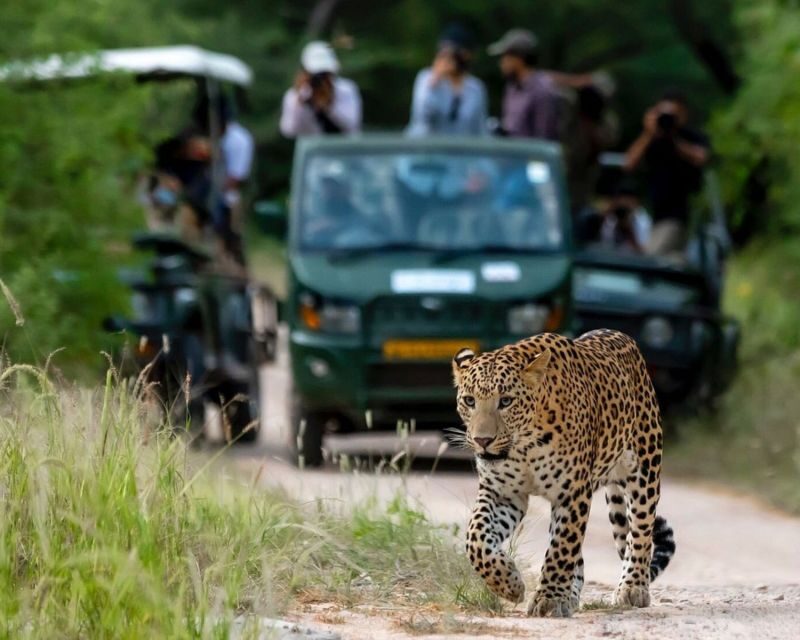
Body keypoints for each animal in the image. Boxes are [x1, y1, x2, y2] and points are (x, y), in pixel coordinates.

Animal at [451, 329, 675, 618]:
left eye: (506, 401)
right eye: (469, 401)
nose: (482, 440)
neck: (525, 446)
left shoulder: (572, 493)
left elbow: (561, 548)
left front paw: (548, 599)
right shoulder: (502, 493)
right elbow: (476, 539)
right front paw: (509, 584)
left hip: (644, 469)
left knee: (640, 531)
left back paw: (633, 587)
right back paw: (570, 596)